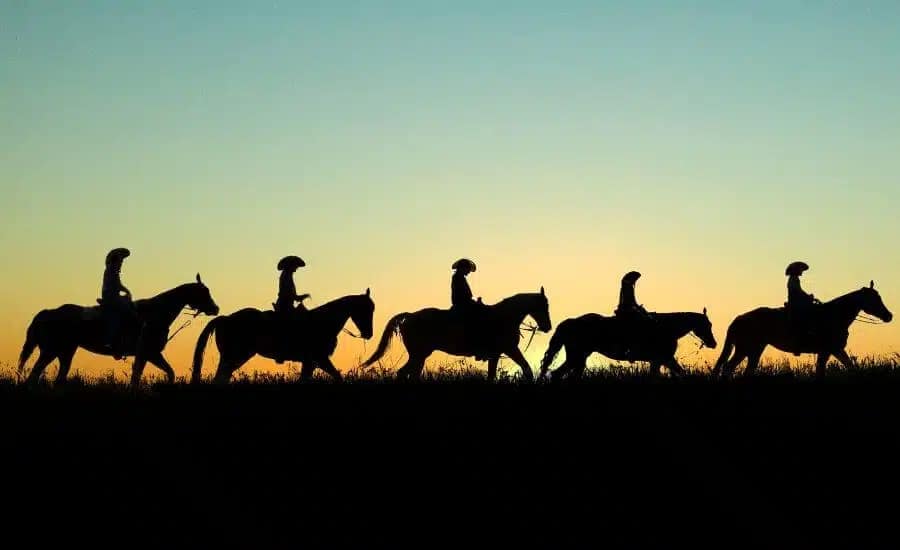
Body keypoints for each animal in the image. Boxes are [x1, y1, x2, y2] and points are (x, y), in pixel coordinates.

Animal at [19, 276, 220, 388]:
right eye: (204, 292)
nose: (215, 309)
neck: (154, 314)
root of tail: (47, 313)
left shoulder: (149, 355)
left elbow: (165, 374)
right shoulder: (149, 353)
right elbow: (140, 377)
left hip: (65, 352)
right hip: (51, 351)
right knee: (34, 375)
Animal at [192, 288, 374, 384]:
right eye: (366, 309)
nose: (369, 334)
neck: (322, 322)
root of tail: (225, 318)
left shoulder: (311, 362)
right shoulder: (320, 359)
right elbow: (337, 376)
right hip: (234, 356)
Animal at [358, 288, 548, 384]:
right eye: (544, 305)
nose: (548, 327)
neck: (504, 317)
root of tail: (409, 316)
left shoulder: (499, 353)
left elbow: (497, 374)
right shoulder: (508, 349)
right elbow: (525, 369)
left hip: (419, 356)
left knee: (409, 374)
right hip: (419, 354)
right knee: (403, 374)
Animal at [536, 308, 716, 382]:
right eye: (707, 325)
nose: (713, 343)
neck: (666, 327)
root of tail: (570, 322)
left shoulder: (659, 361)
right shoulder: (664, 359)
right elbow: (679, 372)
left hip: (579, 358)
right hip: (577, 357)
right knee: (558, 374)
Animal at [712, 284, 888, 380]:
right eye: (874, 299)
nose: (889, 315)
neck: (833, 315)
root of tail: (738, 319)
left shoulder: (836, 350)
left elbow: (850, 367)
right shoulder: (827, 351)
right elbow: (821, 372)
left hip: (754, 350)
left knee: (744, 369)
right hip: (745, 349)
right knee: (728, 367)